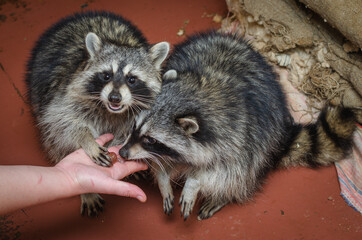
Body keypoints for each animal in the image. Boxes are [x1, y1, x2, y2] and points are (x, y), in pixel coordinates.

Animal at [25, 11, 170, 217]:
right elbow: (63, 124)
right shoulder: (64, 96)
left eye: (132, 79)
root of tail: (84, 15)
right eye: (106, 75)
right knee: (55, 142)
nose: (114, 97)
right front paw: (86, 139)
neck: (112, 111)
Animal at [119, 32, 356, 221]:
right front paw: (163, 179)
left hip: (266, 138)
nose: (122, 152)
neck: (197, 92)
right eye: (134, 127)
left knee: (243, 175)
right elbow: (163, 163)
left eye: (150, 139)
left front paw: (194, 183)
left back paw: (224, 196)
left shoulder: (240, 136)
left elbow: (224, 171)